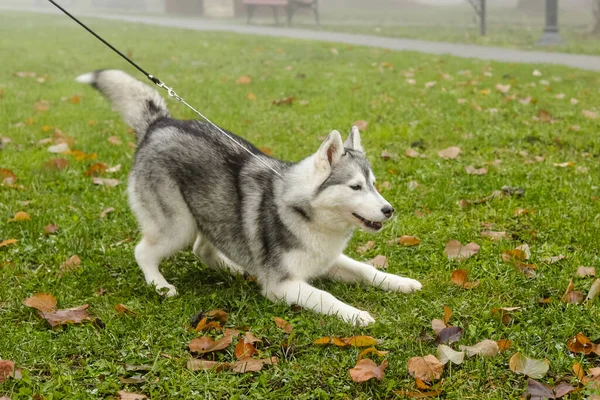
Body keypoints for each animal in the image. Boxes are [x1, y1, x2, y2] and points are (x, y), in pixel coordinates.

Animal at [76, 69, 422, 324]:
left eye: (374, 184)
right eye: (355, 187)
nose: (389, 210)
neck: (304, 214)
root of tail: (161, 123)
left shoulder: (327, 260)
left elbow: (366, 270)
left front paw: (400, 283)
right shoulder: (281, 285)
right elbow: (326, 297)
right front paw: (357, 314)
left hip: (213, 213)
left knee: (204, 248)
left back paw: (235, 267)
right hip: (178, 226)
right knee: (144, 252)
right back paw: (159, 284)